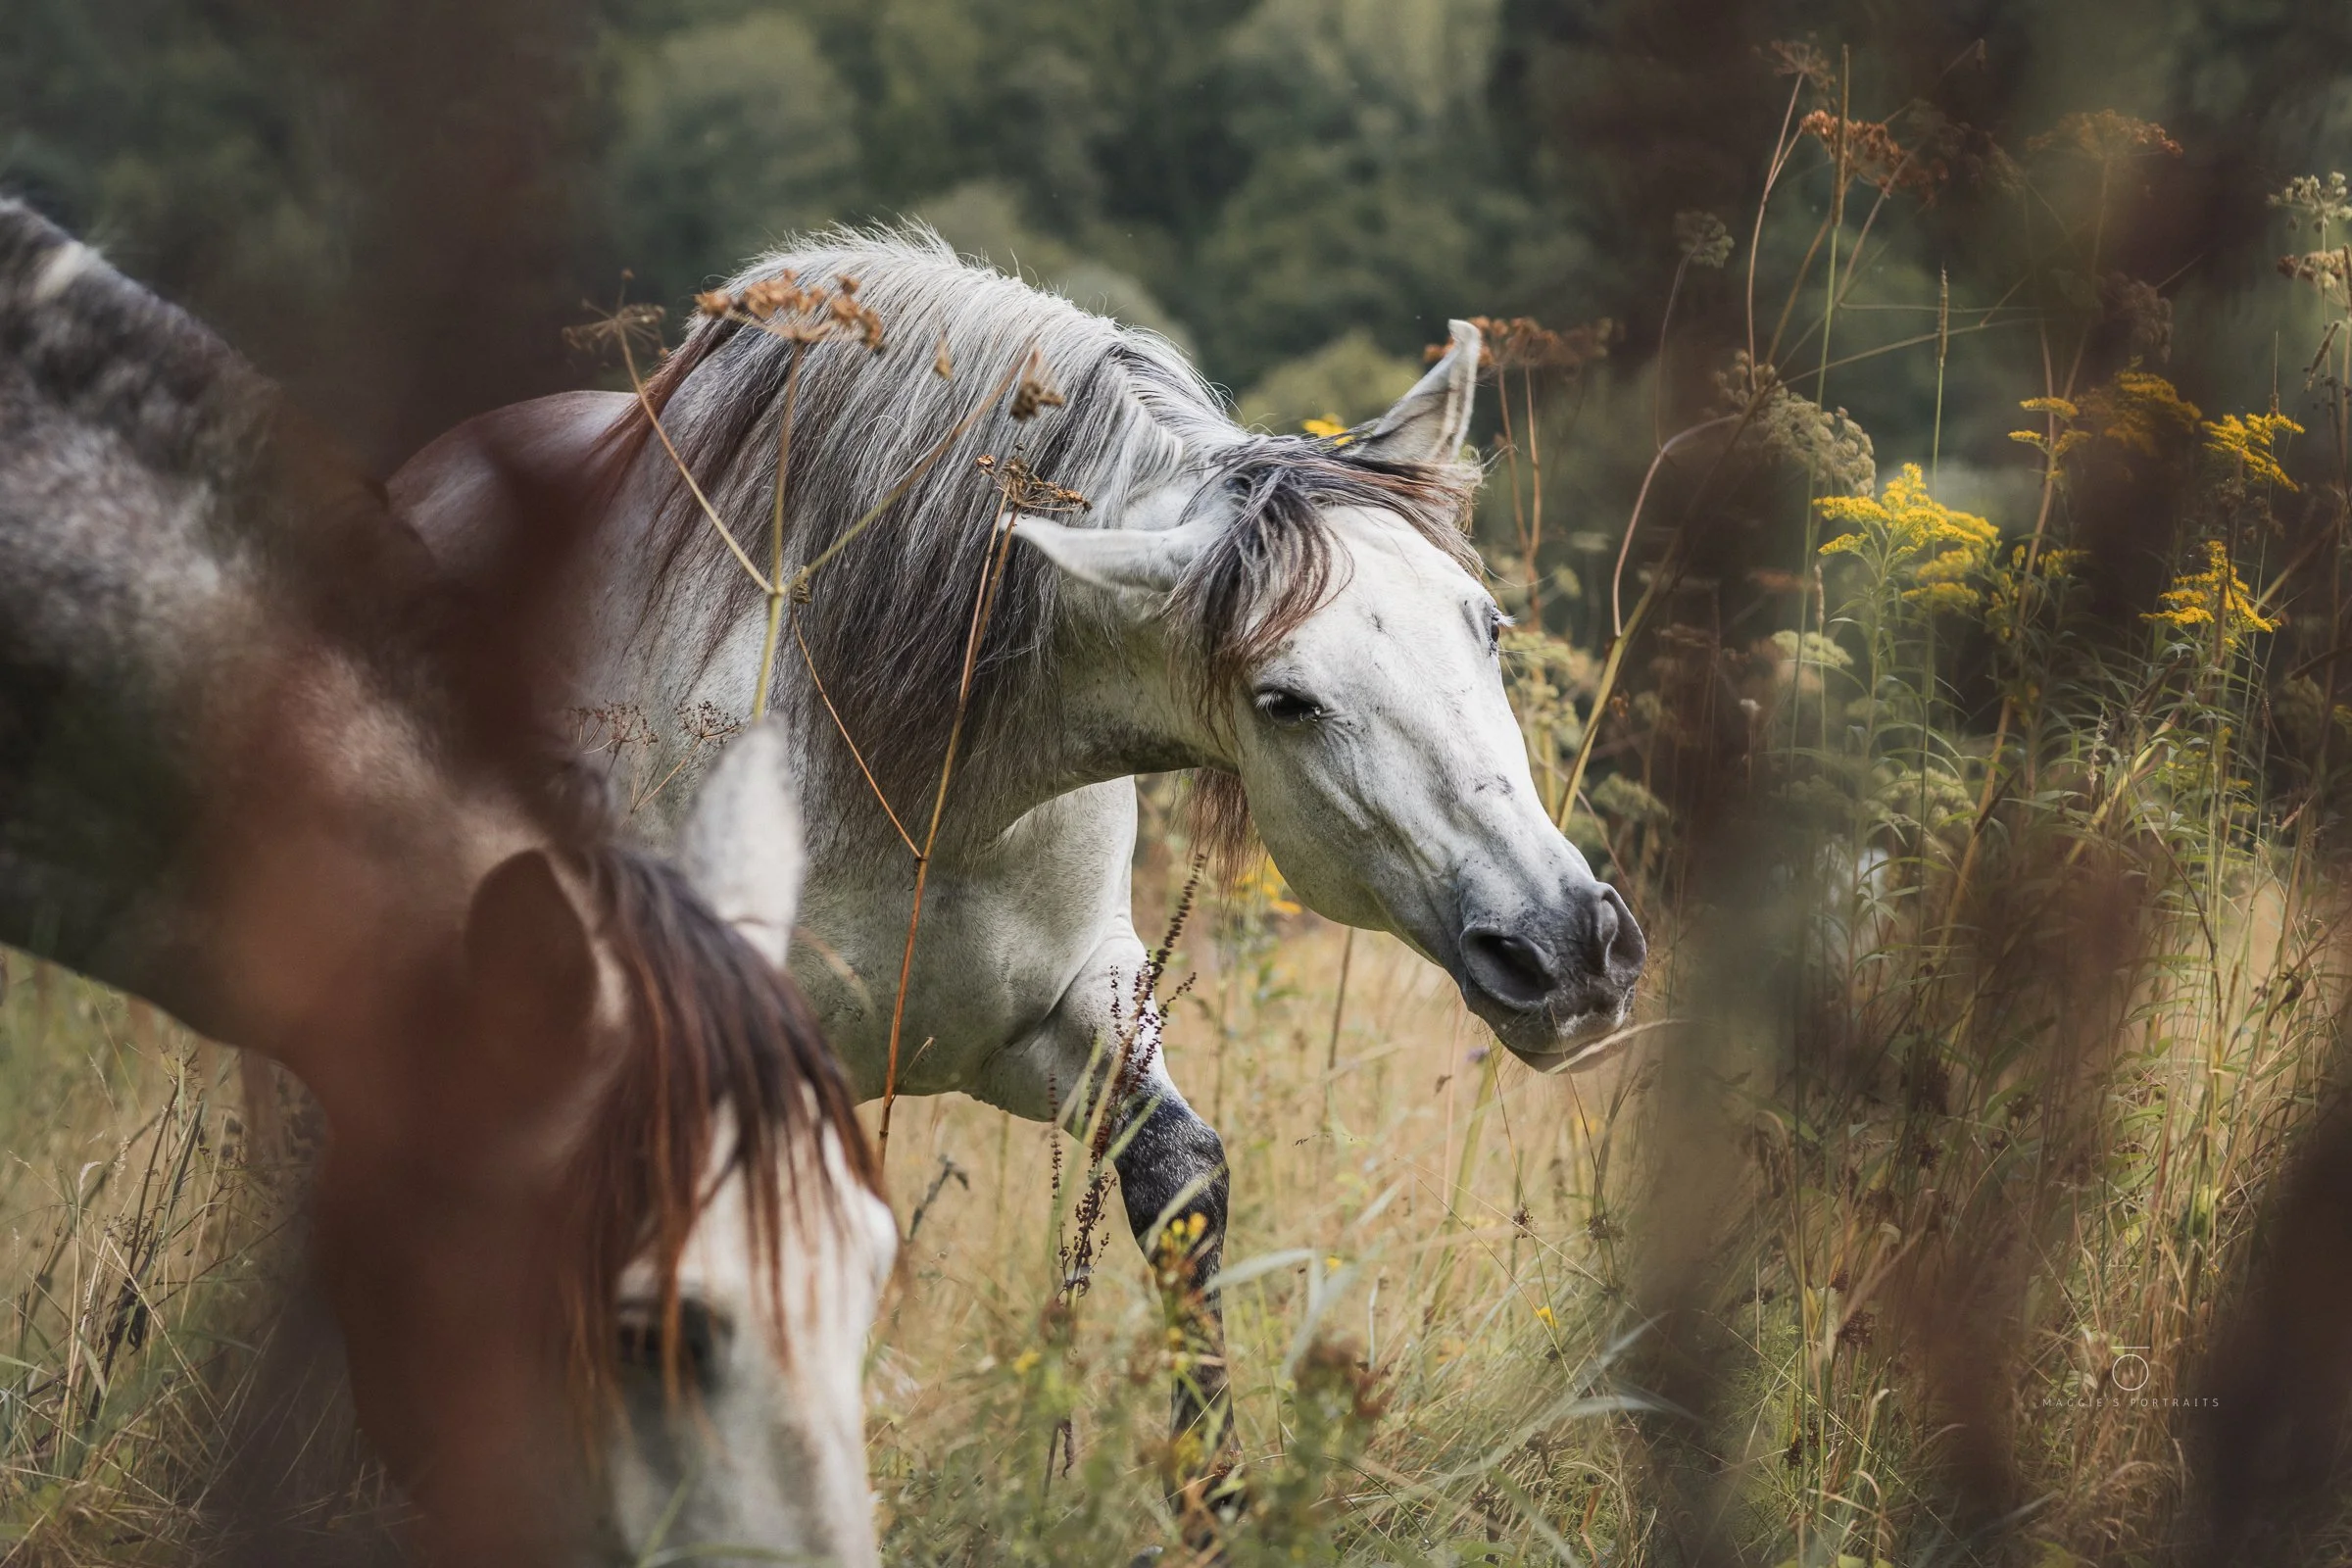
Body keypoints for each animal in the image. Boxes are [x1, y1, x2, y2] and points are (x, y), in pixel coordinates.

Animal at [393, 225, 1648, 1439]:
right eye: (1284, 699)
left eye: (1487, 626)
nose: (1568, 949)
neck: (913, 775)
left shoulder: (1064, 1012)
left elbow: (1182, 1181)